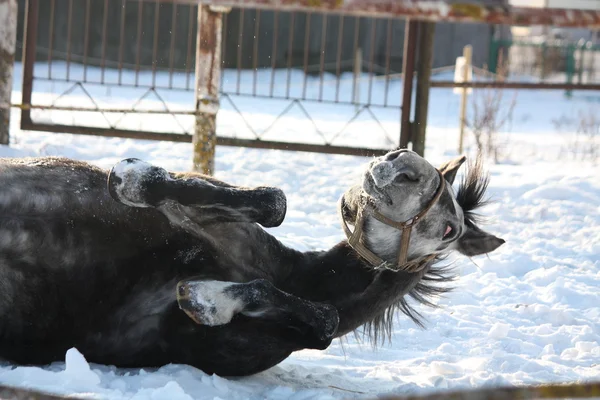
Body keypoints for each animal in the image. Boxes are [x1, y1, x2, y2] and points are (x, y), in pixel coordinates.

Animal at [0, 149, 502, 376]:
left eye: (450, 230)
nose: (403, 163)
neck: (298, 278)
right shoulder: (210, 219)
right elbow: (272, 201)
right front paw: (133, 177)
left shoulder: (199, 342)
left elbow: (324, 321)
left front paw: (207, 298)